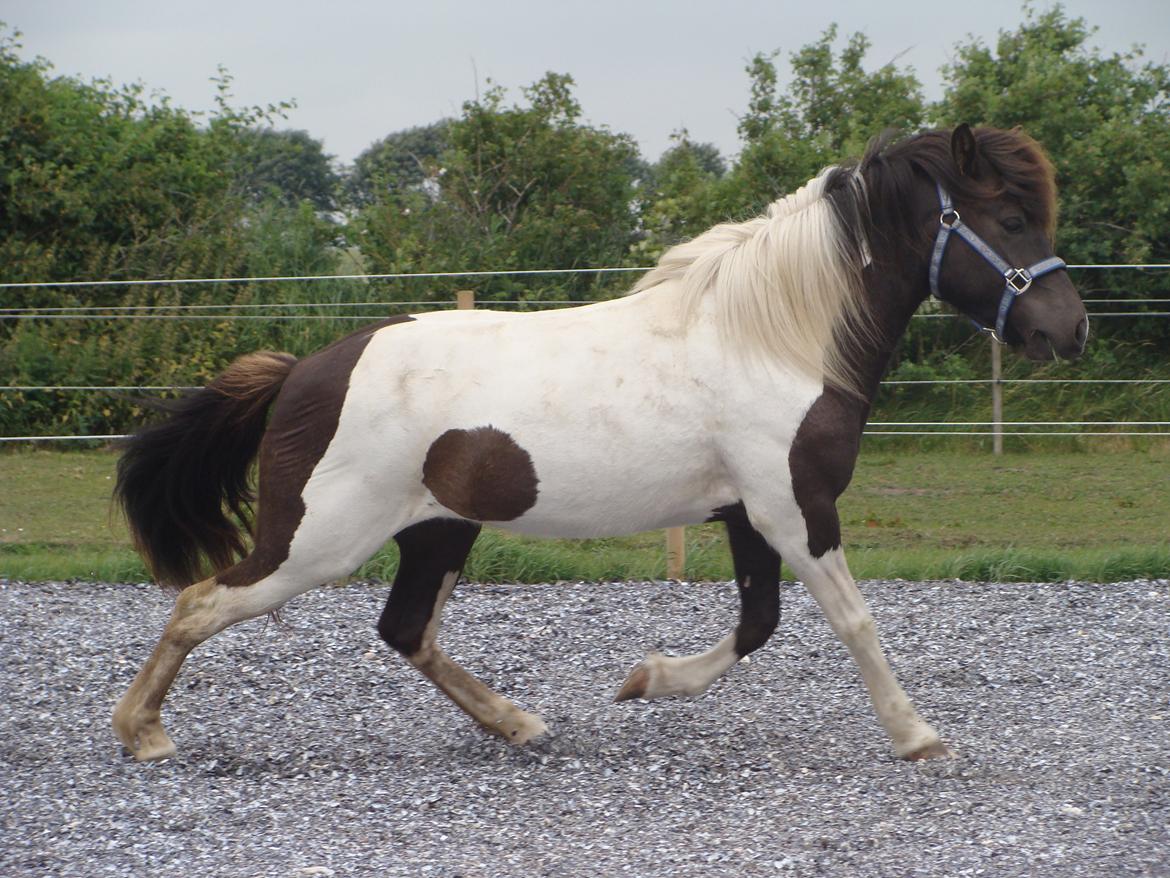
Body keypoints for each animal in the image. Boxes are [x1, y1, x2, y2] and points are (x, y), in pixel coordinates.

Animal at [109, 124, 1085, 763]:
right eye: (1006, 217)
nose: (1067, 330)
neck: (771, 338)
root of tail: (307, 369)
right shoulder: (792, 507)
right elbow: (852, 619)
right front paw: (916, 735)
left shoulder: (744, 511)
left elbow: (758, 624)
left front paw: (646, 681)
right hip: (317, 543)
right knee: (200, 604)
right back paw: (142, 733)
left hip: (437, 530)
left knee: (404, 629)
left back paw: (518, 723)